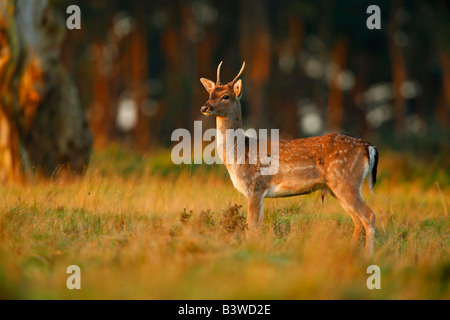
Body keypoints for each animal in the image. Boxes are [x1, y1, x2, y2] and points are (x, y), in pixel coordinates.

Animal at [199, 61, 378, 254]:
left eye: (225, 96)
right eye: (210, 93)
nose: (205, 107)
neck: (238, 156)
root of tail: (368, 147)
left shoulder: (255, 186)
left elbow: (250, 227)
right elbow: (257, 227)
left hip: (346, 181)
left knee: (368, 216)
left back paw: (368, 256)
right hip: (335, 187)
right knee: (357, 221)